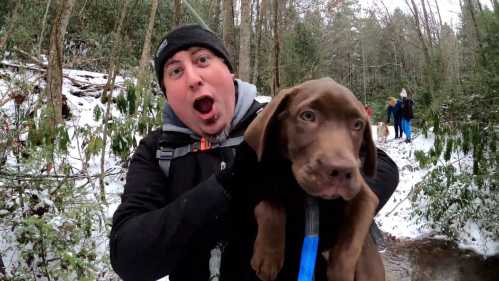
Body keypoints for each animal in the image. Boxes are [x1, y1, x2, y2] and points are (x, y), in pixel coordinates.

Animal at [244, 77, 384, 280]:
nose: (341, 170)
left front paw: (340, 274)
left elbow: (350, 244)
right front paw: (268, 256)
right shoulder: (265, 179)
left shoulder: (365, 196)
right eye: (308, 116)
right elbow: (269, 203)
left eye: (358, 125)